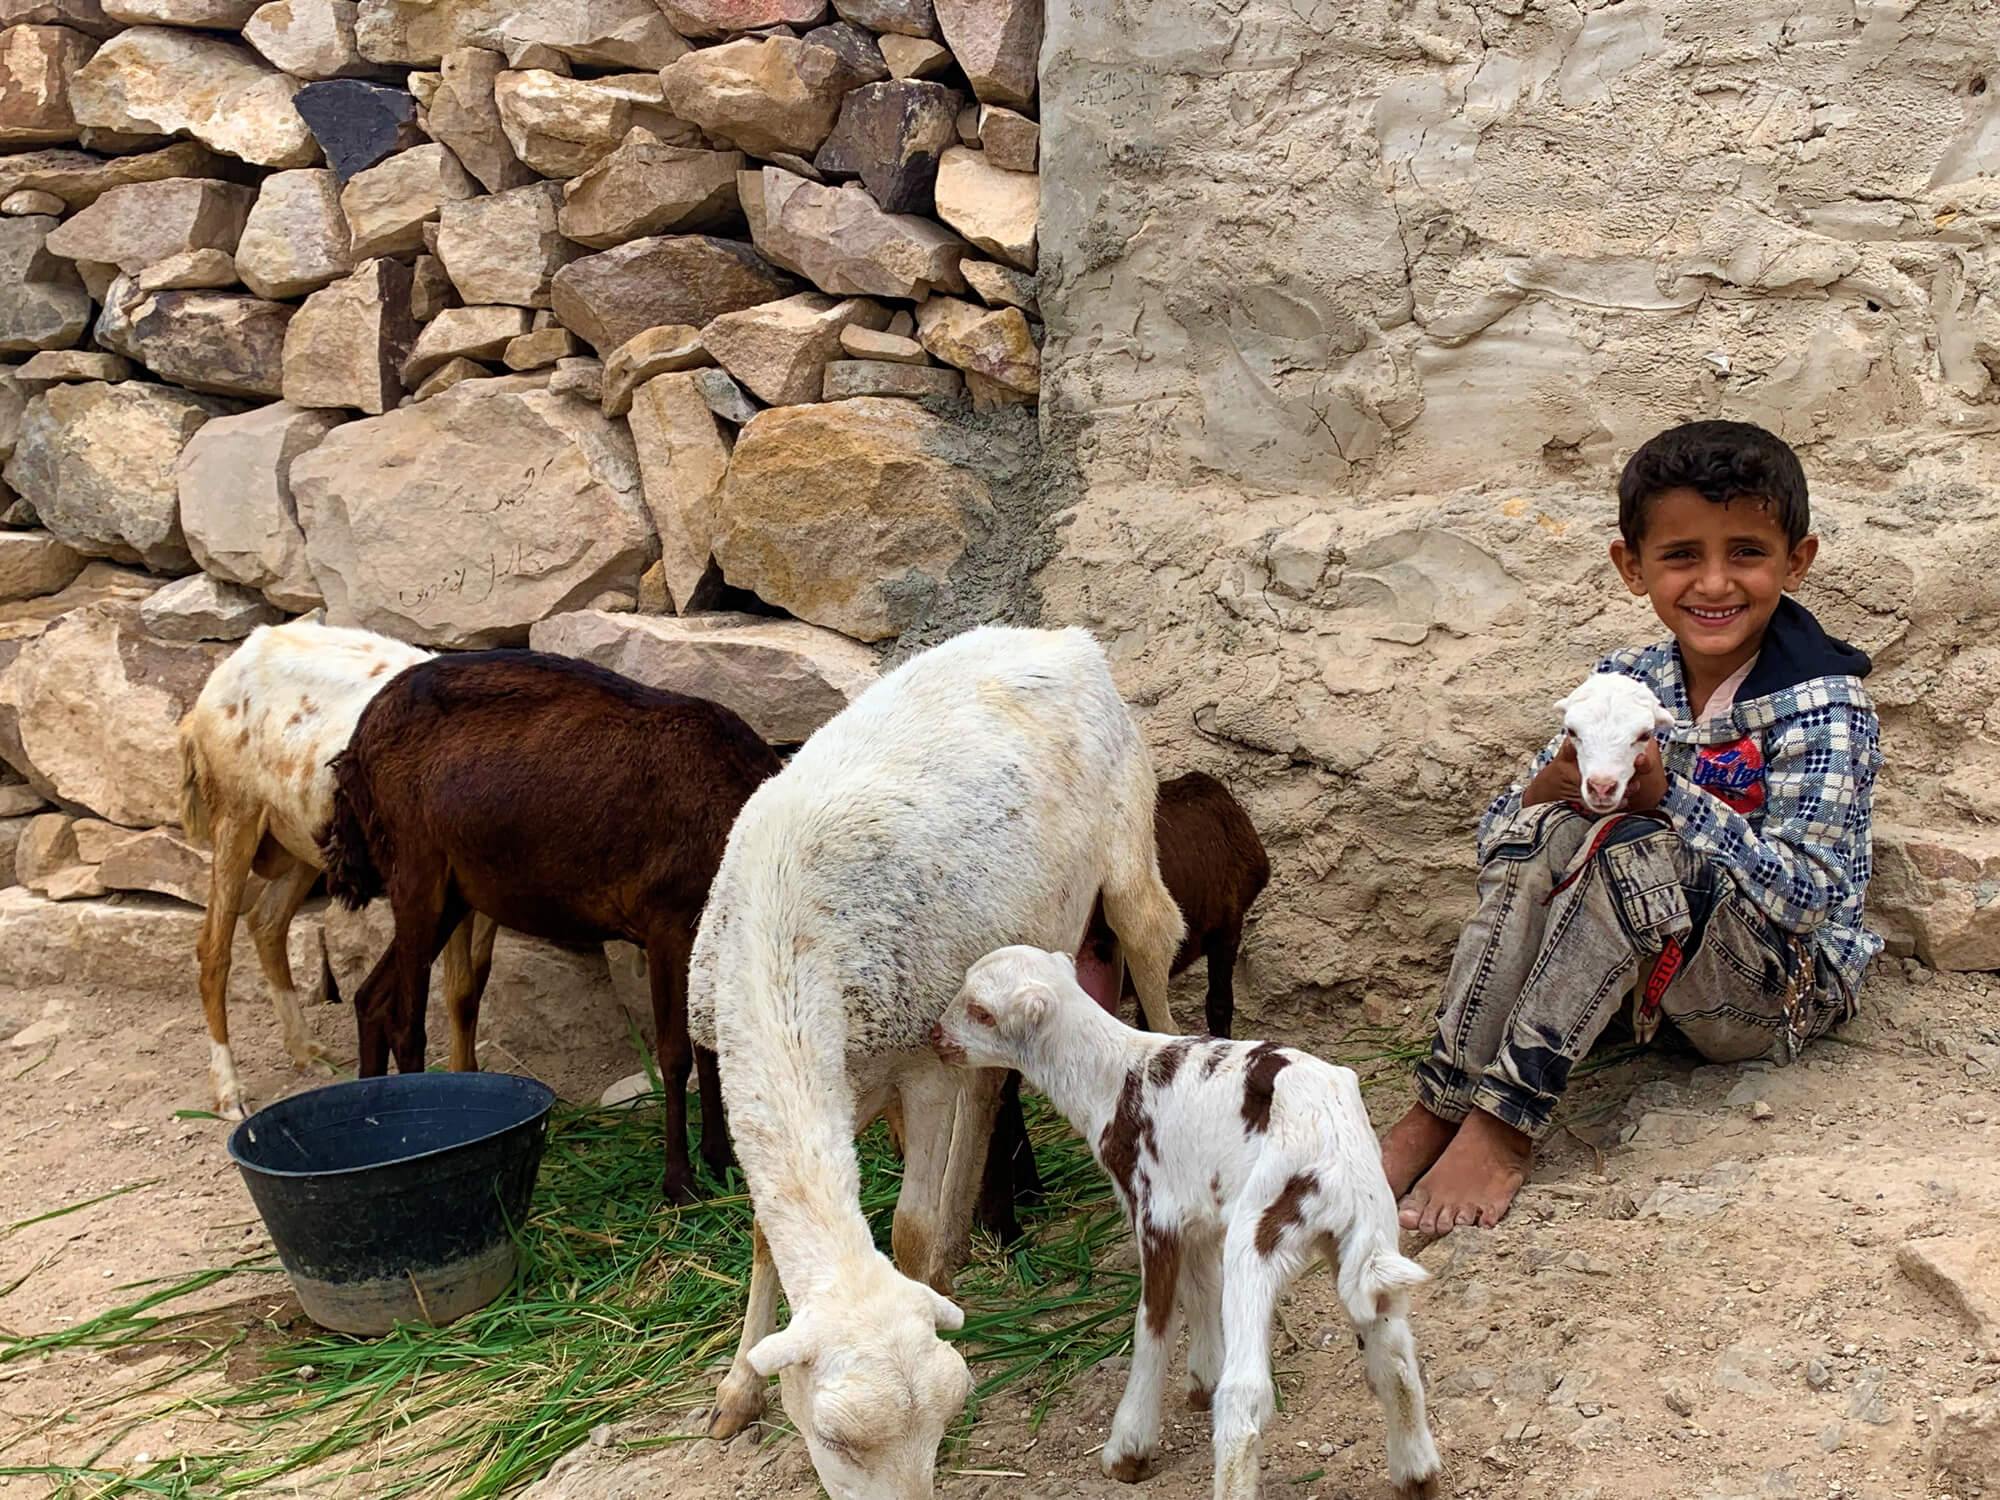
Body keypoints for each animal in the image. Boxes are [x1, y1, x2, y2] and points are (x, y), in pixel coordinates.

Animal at [320, 652, 780, 1208]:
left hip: (454, 890)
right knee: (406, 1020)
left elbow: (707, 1043)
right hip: (414, 868)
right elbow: (675, 1054)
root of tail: (355, 747)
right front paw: (680, 1183)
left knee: (371, 996)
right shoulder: (665, 919)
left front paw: (721, 1160)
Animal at [688, 624, 1184, 1500]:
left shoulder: (916, 1068)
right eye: (834, 1438)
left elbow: (908, 1231)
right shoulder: (826, 1075)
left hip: (1129, 848)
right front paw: (738, 1388)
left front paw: (928, 1263)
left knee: (1156, 955)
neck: (783, 941)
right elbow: (761, 1231)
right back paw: (960, 1249)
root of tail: (1058, 636)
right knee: (989, 1083)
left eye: (947, 1421)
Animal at [936, 952, 1440, 1500]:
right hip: (1369, 1230)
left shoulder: (1153, 1211)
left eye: (982, 1012)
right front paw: (1201, 1381)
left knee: (1247, 1394)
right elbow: (1200, 1289)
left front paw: (1129, 1449)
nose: (935, 1037)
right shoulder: (1195, 1212)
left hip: (1259, 1236)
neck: (1110, 1077)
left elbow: (1153, 1325)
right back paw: (1417, 1477)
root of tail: (1335, 1149)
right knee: (1395, 1363)